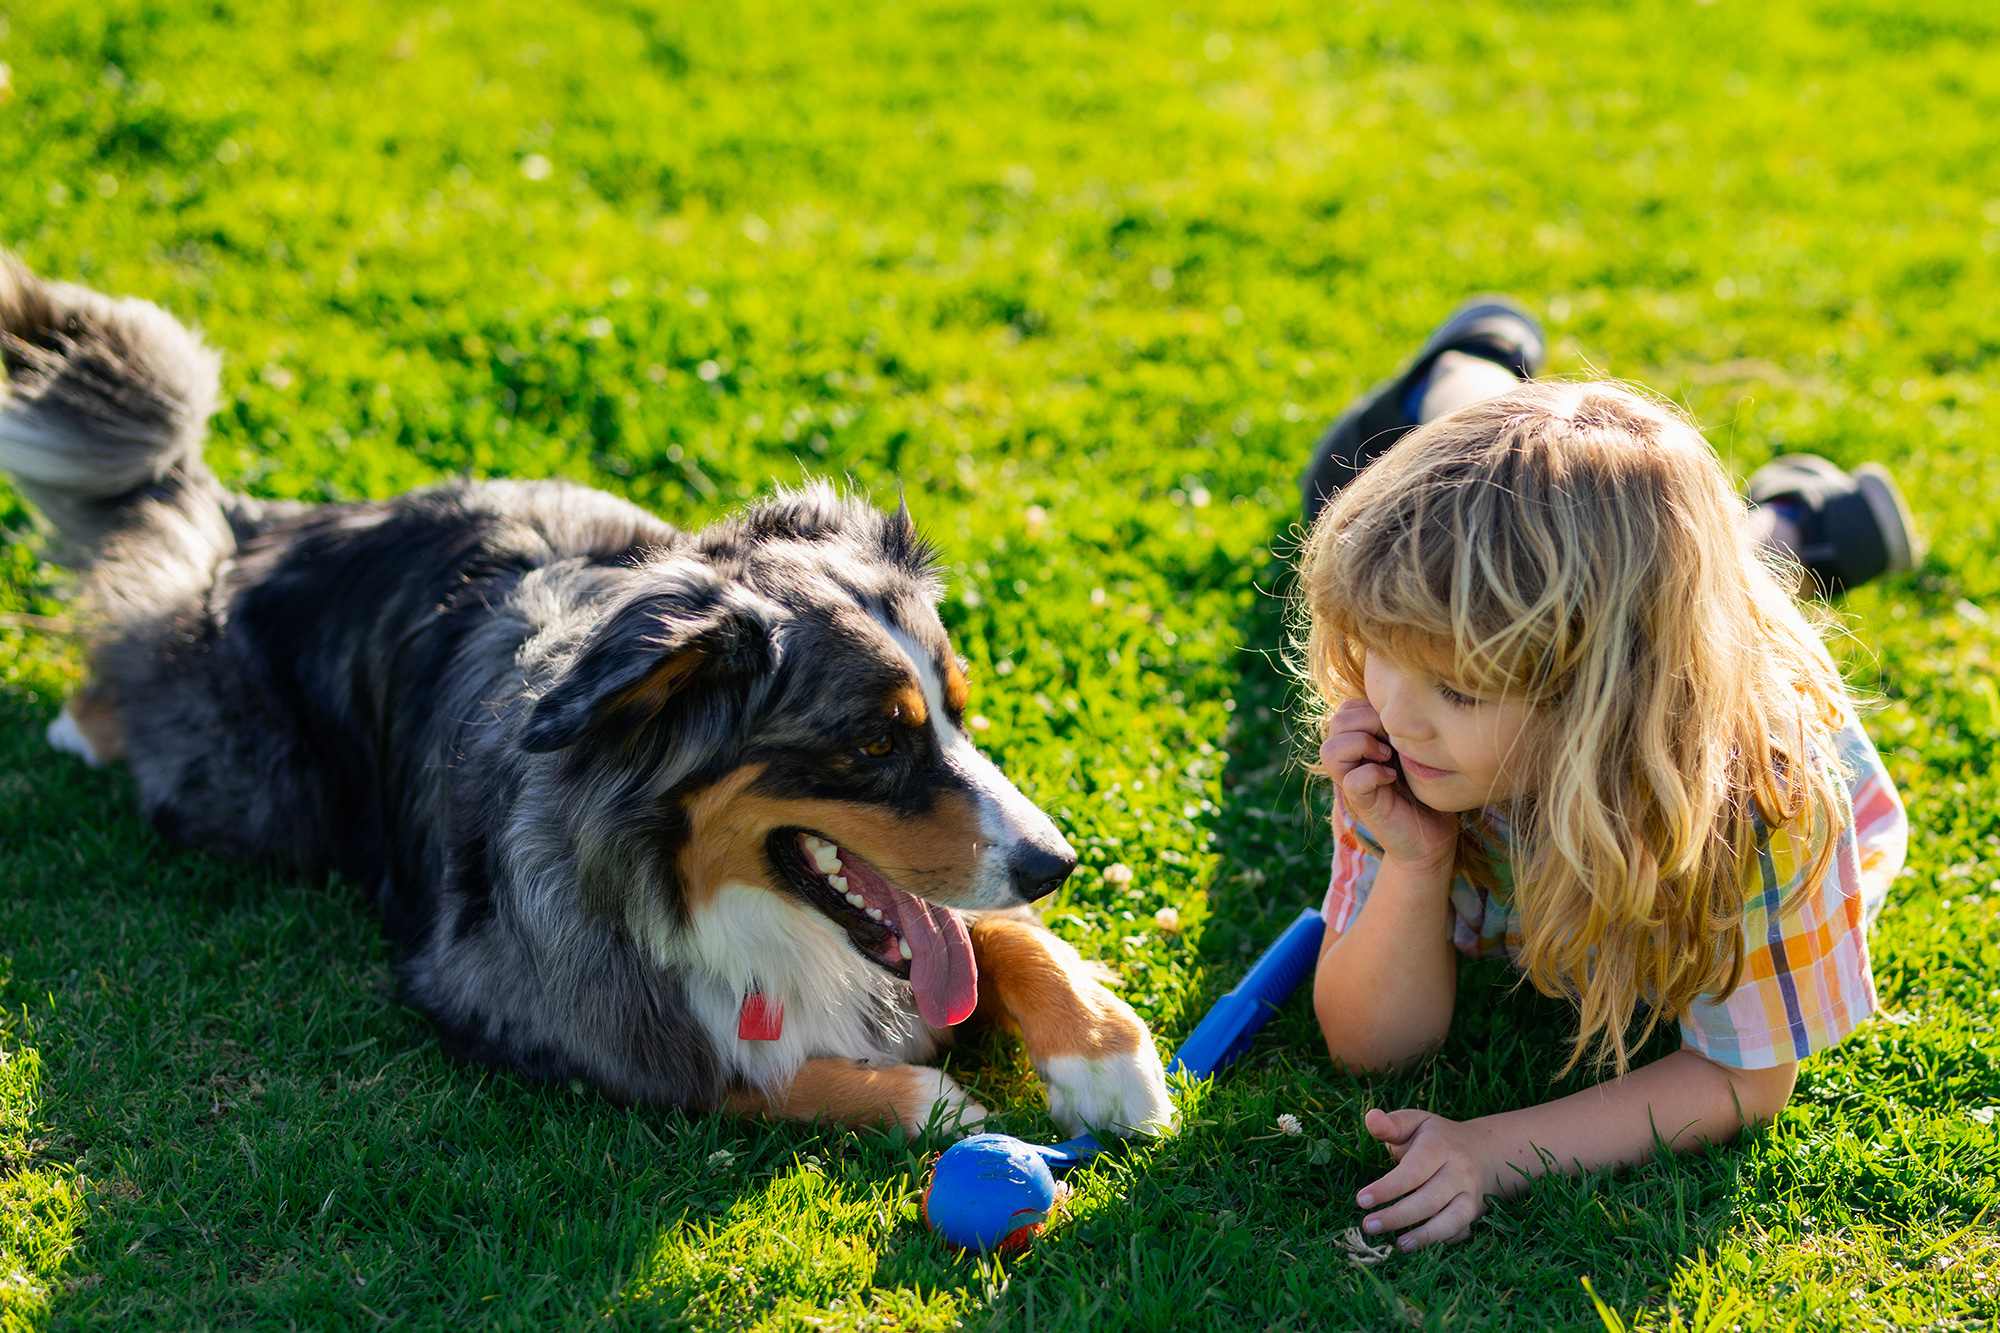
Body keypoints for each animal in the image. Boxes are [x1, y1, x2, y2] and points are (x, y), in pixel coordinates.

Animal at [0, 256, 1168, 1144]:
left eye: (959, 712)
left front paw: (1107, 1055)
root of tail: (266, 529)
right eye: (876, 740)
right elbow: (736, 1071)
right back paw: (82, 720)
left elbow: (996, 936)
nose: (1059, 863)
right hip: (252, 792)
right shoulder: (509, 993)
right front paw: (944, 1102)